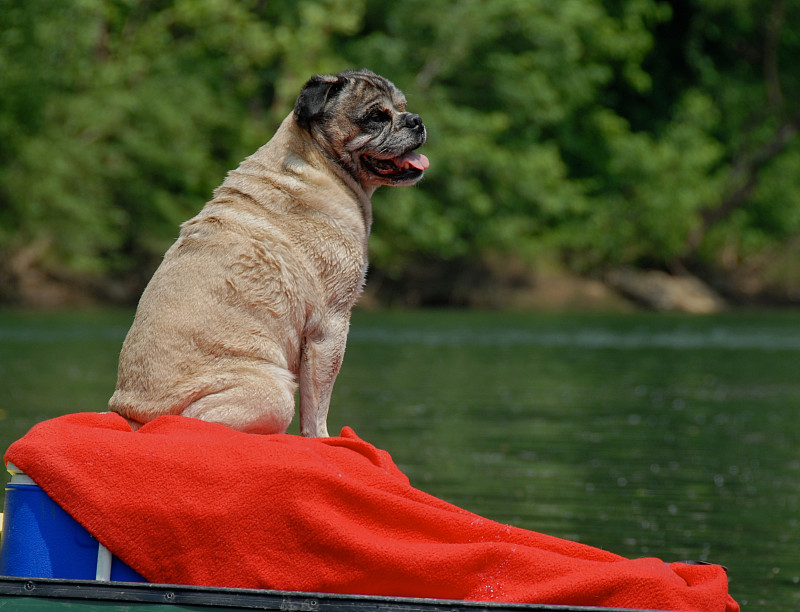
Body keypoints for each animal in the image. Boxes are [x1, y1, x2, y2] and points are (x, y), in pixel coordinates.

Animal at [111, 69, 432, 438]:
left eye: (403, 108)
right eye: (377, 117)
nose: (416, 120)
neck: (318, 163)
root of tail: (131, 417)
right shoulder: (330, 327)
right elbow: (317, 407)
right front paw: (322, 440)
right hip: (274, 391)